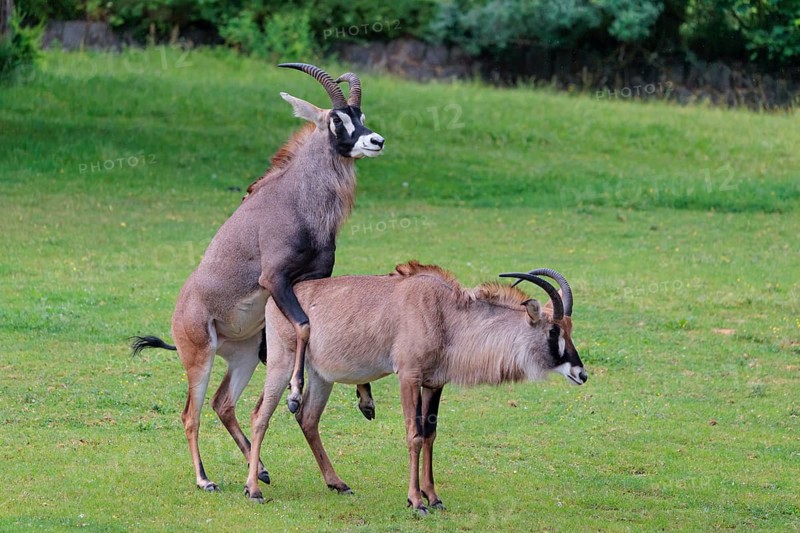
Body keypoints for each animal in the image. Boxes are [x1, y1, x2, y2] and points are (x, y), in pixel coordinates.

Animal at [131, 63, 384, 492]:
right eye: (337, 120)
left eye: (361, 115)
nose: (375, 140)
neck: (298, 198)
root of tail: (178, 315)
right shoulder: (276, 280)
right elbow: (303, 325)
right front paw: (295, 394)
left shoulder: (316, 277)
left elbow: (319, 322)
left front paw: (365, 401)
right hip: (200, 357)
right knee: (191, 413)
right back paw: (205, 479)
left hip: (246, 356)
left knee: (223, 403)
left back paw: (260, 468)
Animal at [244, 261, 588, 514]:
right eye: (553, 330)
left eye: (569, 329)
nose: (581, 374)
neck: (446, 314)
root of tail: (278, 299)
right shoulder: (408, 377)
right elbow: (413, 435)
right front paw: (416, 500)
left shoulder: (433, 383)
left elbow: (429, 434)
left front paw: (434, 497)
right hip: (282, 363)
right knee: (261, 415)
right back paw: (254, 488)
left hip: (322, 376)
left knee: (308, 419)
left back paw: (337, 483)